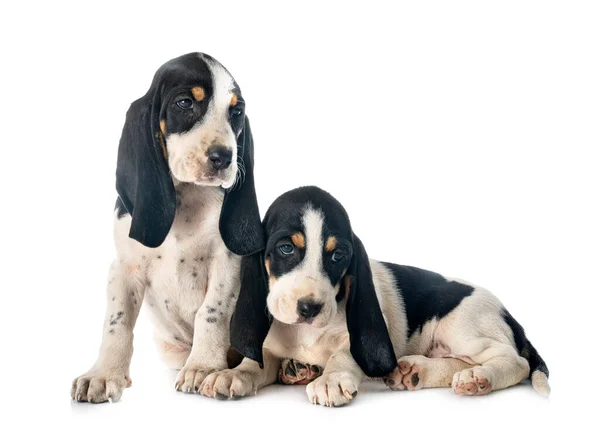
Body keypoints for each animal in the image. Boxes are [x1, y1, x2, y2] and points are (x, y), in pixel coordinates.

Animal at [71, 53, 264, 402]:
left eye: (236, 112)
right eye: (185, 102)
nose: (225, 157)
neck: (187, 197)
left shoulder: (227, 262)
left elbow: (211, 313)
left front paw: (203, 365)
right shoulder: (124, 267)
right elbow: (116, 323)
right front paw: (104, 374)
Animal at [200, 186, 548, 408]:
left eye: (338, 255)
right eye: (286, 248)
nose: (310, 307)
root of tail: (510, 316)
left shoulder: (357, 337)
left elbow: (345, 353)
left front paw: (331, 379)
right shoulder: (270, 347)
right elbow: (255, 361)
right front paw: (233, 375)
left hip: (461, 328)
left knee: (514, 361)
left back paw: (480, 376)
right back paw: (414, 372)